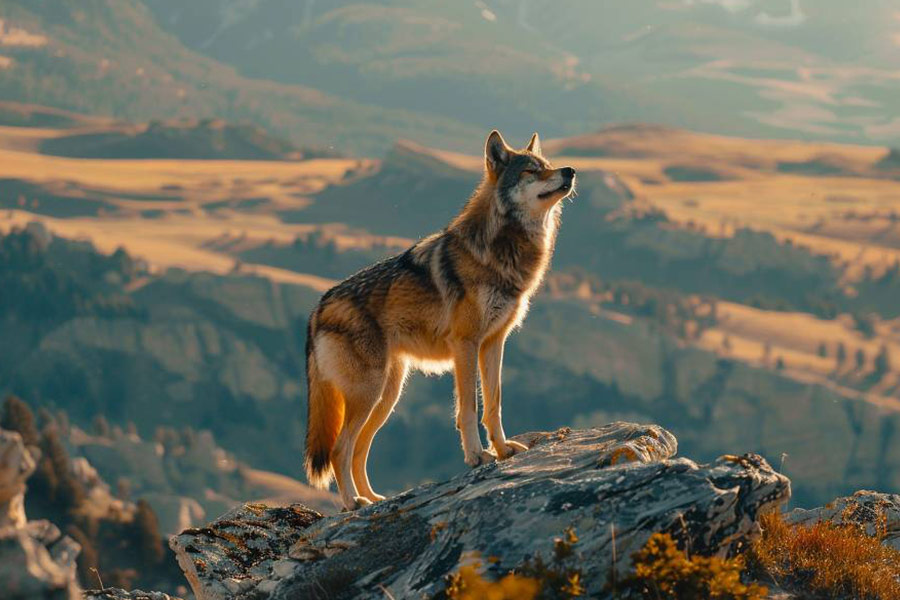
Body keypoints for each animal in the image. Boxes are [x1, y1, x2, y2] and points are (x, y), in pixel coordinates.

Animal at [304, 130, 576, 509]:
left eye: (548, 165)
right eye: (532, 171)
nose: (570, 170)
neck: (501, 250)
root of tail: (318, 307)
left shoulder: (494, 343)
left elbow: (494, 403)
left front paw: (503, 450)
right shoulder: (465, 344)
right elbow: (469, 409)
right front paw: (477, 457)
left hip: (387, 396)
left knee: (358, 450)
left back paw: (373, 498)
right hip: (369, 394)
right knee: (338, 450)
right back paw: (353, 503)